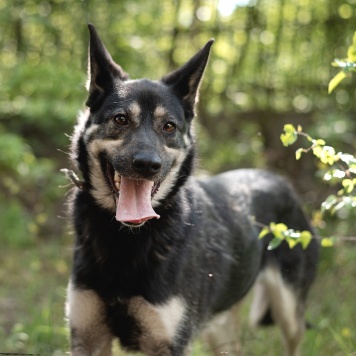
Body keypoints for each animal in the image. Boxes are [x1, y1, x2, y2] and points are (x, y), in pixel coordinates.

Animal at [66, 23, 320, 354]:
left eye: (169, 127)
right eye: (120, 119)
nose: (147, 165)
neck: (126, 239)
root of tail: (280, 181)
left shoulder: (168, 343)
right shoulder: (87, 337)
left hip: (288, 313)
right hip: (220, 327)